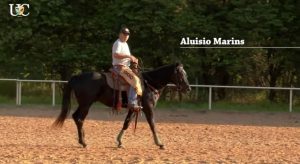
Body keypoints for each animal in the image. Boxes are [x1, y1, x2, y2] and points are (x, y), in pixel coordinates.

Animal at [52, 62, 191, 149]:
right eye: (180, 73)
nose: (188, 88)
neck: (148, 84)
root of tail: (76, 77)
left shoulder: (134, 108)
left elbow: (127, 123)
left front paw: (119, 142)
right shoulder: (148, 107)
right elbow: (152, 124)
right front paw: (160, 143)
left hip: (83, 104)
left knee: (75, 117)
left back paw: (82, 140)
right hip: (86, 104)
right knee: (80, 119)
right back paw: (84, 142)